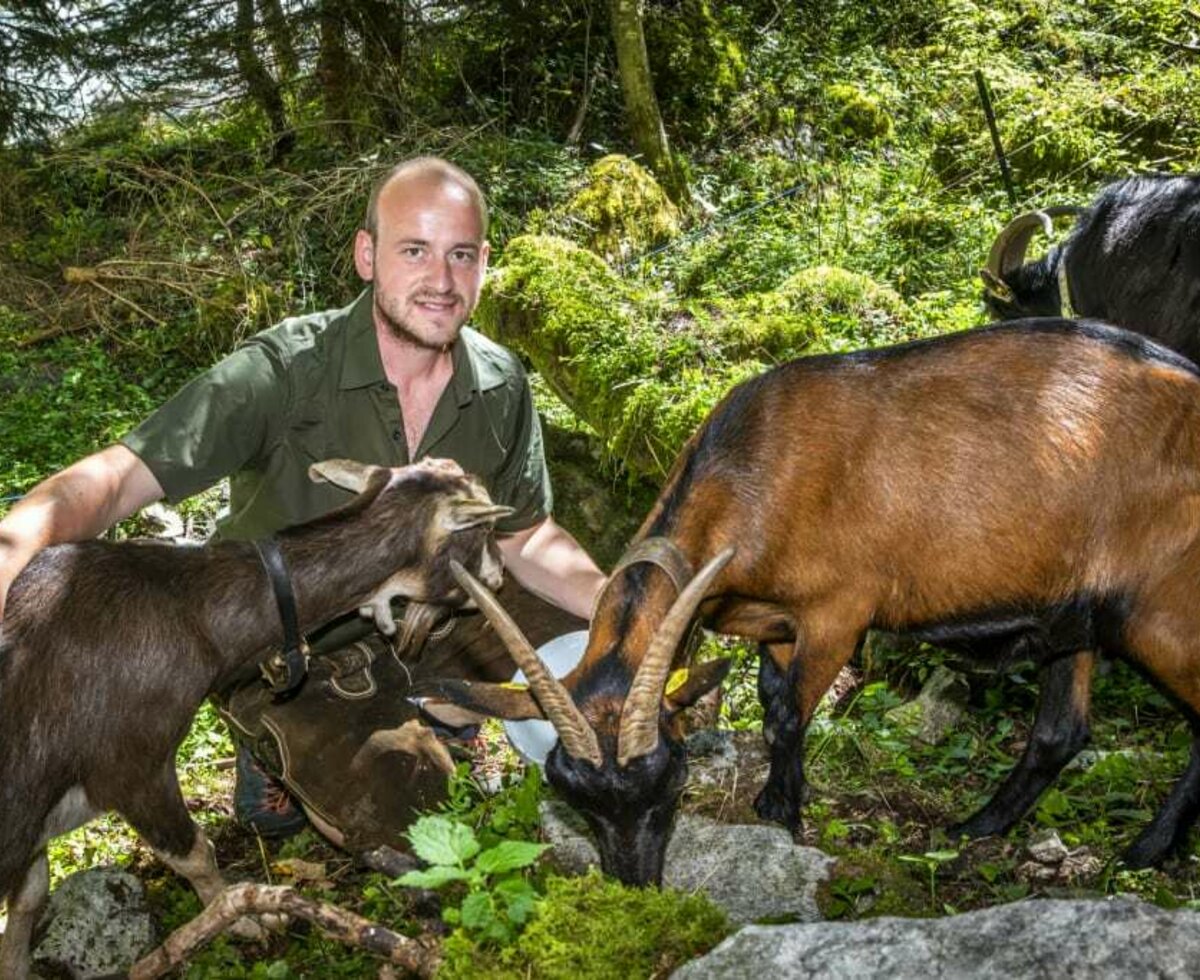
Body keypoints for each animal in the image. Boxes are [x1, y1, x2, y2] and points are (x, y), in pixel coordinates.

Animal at [0, 458, 508, 978]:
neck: (190, 611)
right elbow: (196, 852)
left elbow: (31, 894)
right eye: (484, 529)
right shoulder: (131, 769)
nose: (498, 577)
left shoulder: (35, 830)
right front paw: (244, 921)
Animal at [424, 323, 1200, 887]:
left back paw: (1146, 851)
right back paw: (976, 828)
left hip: (1162, 616)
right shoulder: (774, 620)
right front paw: (782, 799)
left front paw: (780, 813)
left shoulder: (838, 613)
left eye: (671, 779)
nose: (635, 884)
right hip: (1076, 612)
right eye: (574, 797)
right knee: (1060, 732)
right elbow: (774, 701)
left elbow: (789, 716)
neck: (758, 467)